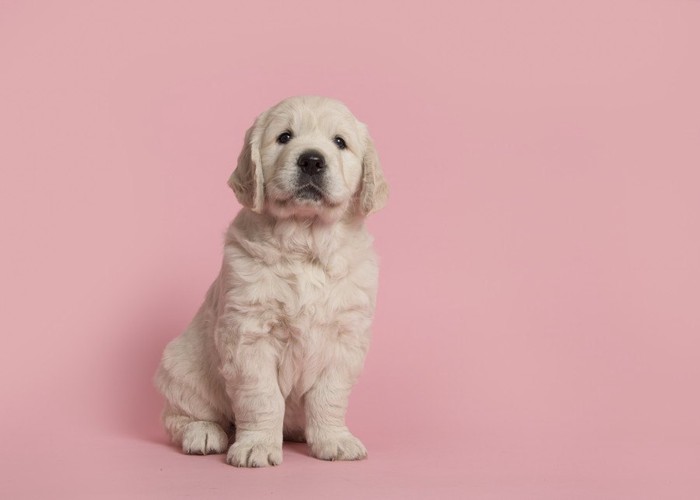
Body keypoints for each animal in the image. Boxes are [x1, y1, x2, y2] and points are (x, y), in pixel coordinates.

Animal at [154, 95, 388, 466]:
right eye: (284, 137)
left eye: (340, 142)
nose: (312, 160)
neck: (305, 242)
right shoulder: (249, 334)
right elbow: (261, 397)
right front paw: (257, 446)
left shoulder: (346, 337)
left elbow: (330, 395)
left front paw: (335, 440)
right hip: (181, 368)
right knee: (182, 416)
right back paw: (203, 433)